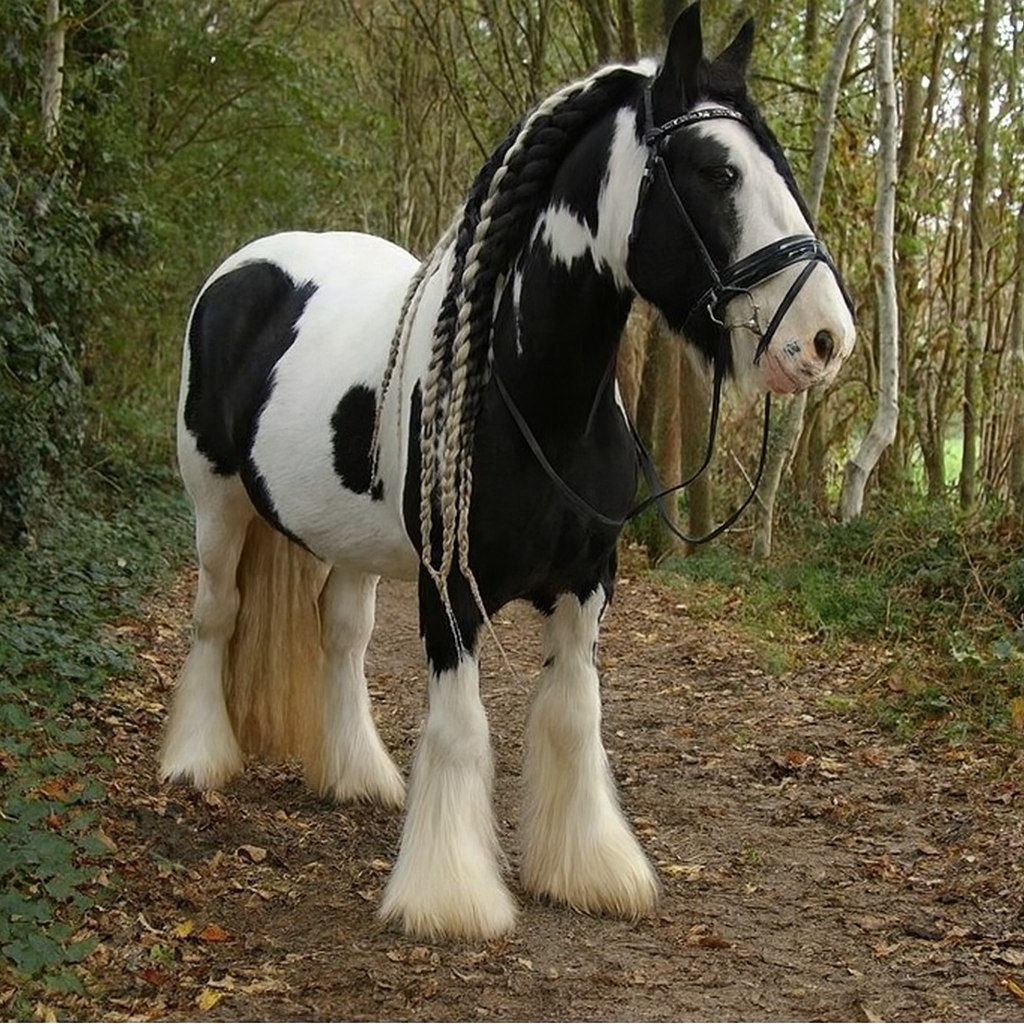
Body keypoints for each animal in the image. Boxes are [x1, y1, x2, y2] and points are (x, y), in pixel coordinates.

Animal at [160, 1, 856, 940]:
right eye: (716, 171)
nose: (823, 339)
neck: (530, 396)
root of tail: (245, 269)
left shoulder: (587, 582)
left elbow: (574, 718)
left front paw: (588, 869)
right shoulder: (451, 589)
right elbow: (460, 729)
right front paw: (450, 898)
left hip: (348, 541)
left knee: (340, 638)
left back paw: (356, 775)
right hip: (217, 505)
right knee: (216, 616)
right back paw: (198, 760)